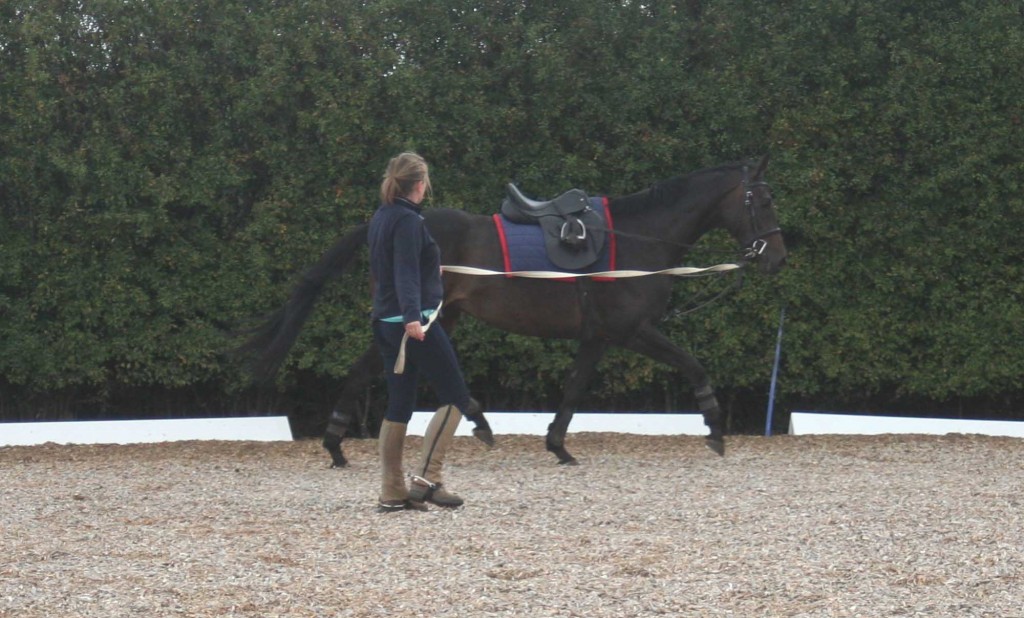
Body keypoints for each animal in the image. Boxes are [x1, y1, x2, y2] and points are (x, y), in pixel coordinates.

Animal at [245, 156, 782, 466]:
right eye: (764, 200)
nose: (773, 255)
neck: (639, 238)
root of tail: (387, 219)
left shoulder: (598, 336)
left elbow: (573, 388)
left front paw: (558, 444)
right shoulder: (633, 330)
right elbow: (694, 365)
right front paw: (715, 427)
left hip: (442, 316)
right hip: (422, 317)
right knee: (375, 367)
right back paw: (337, 442)